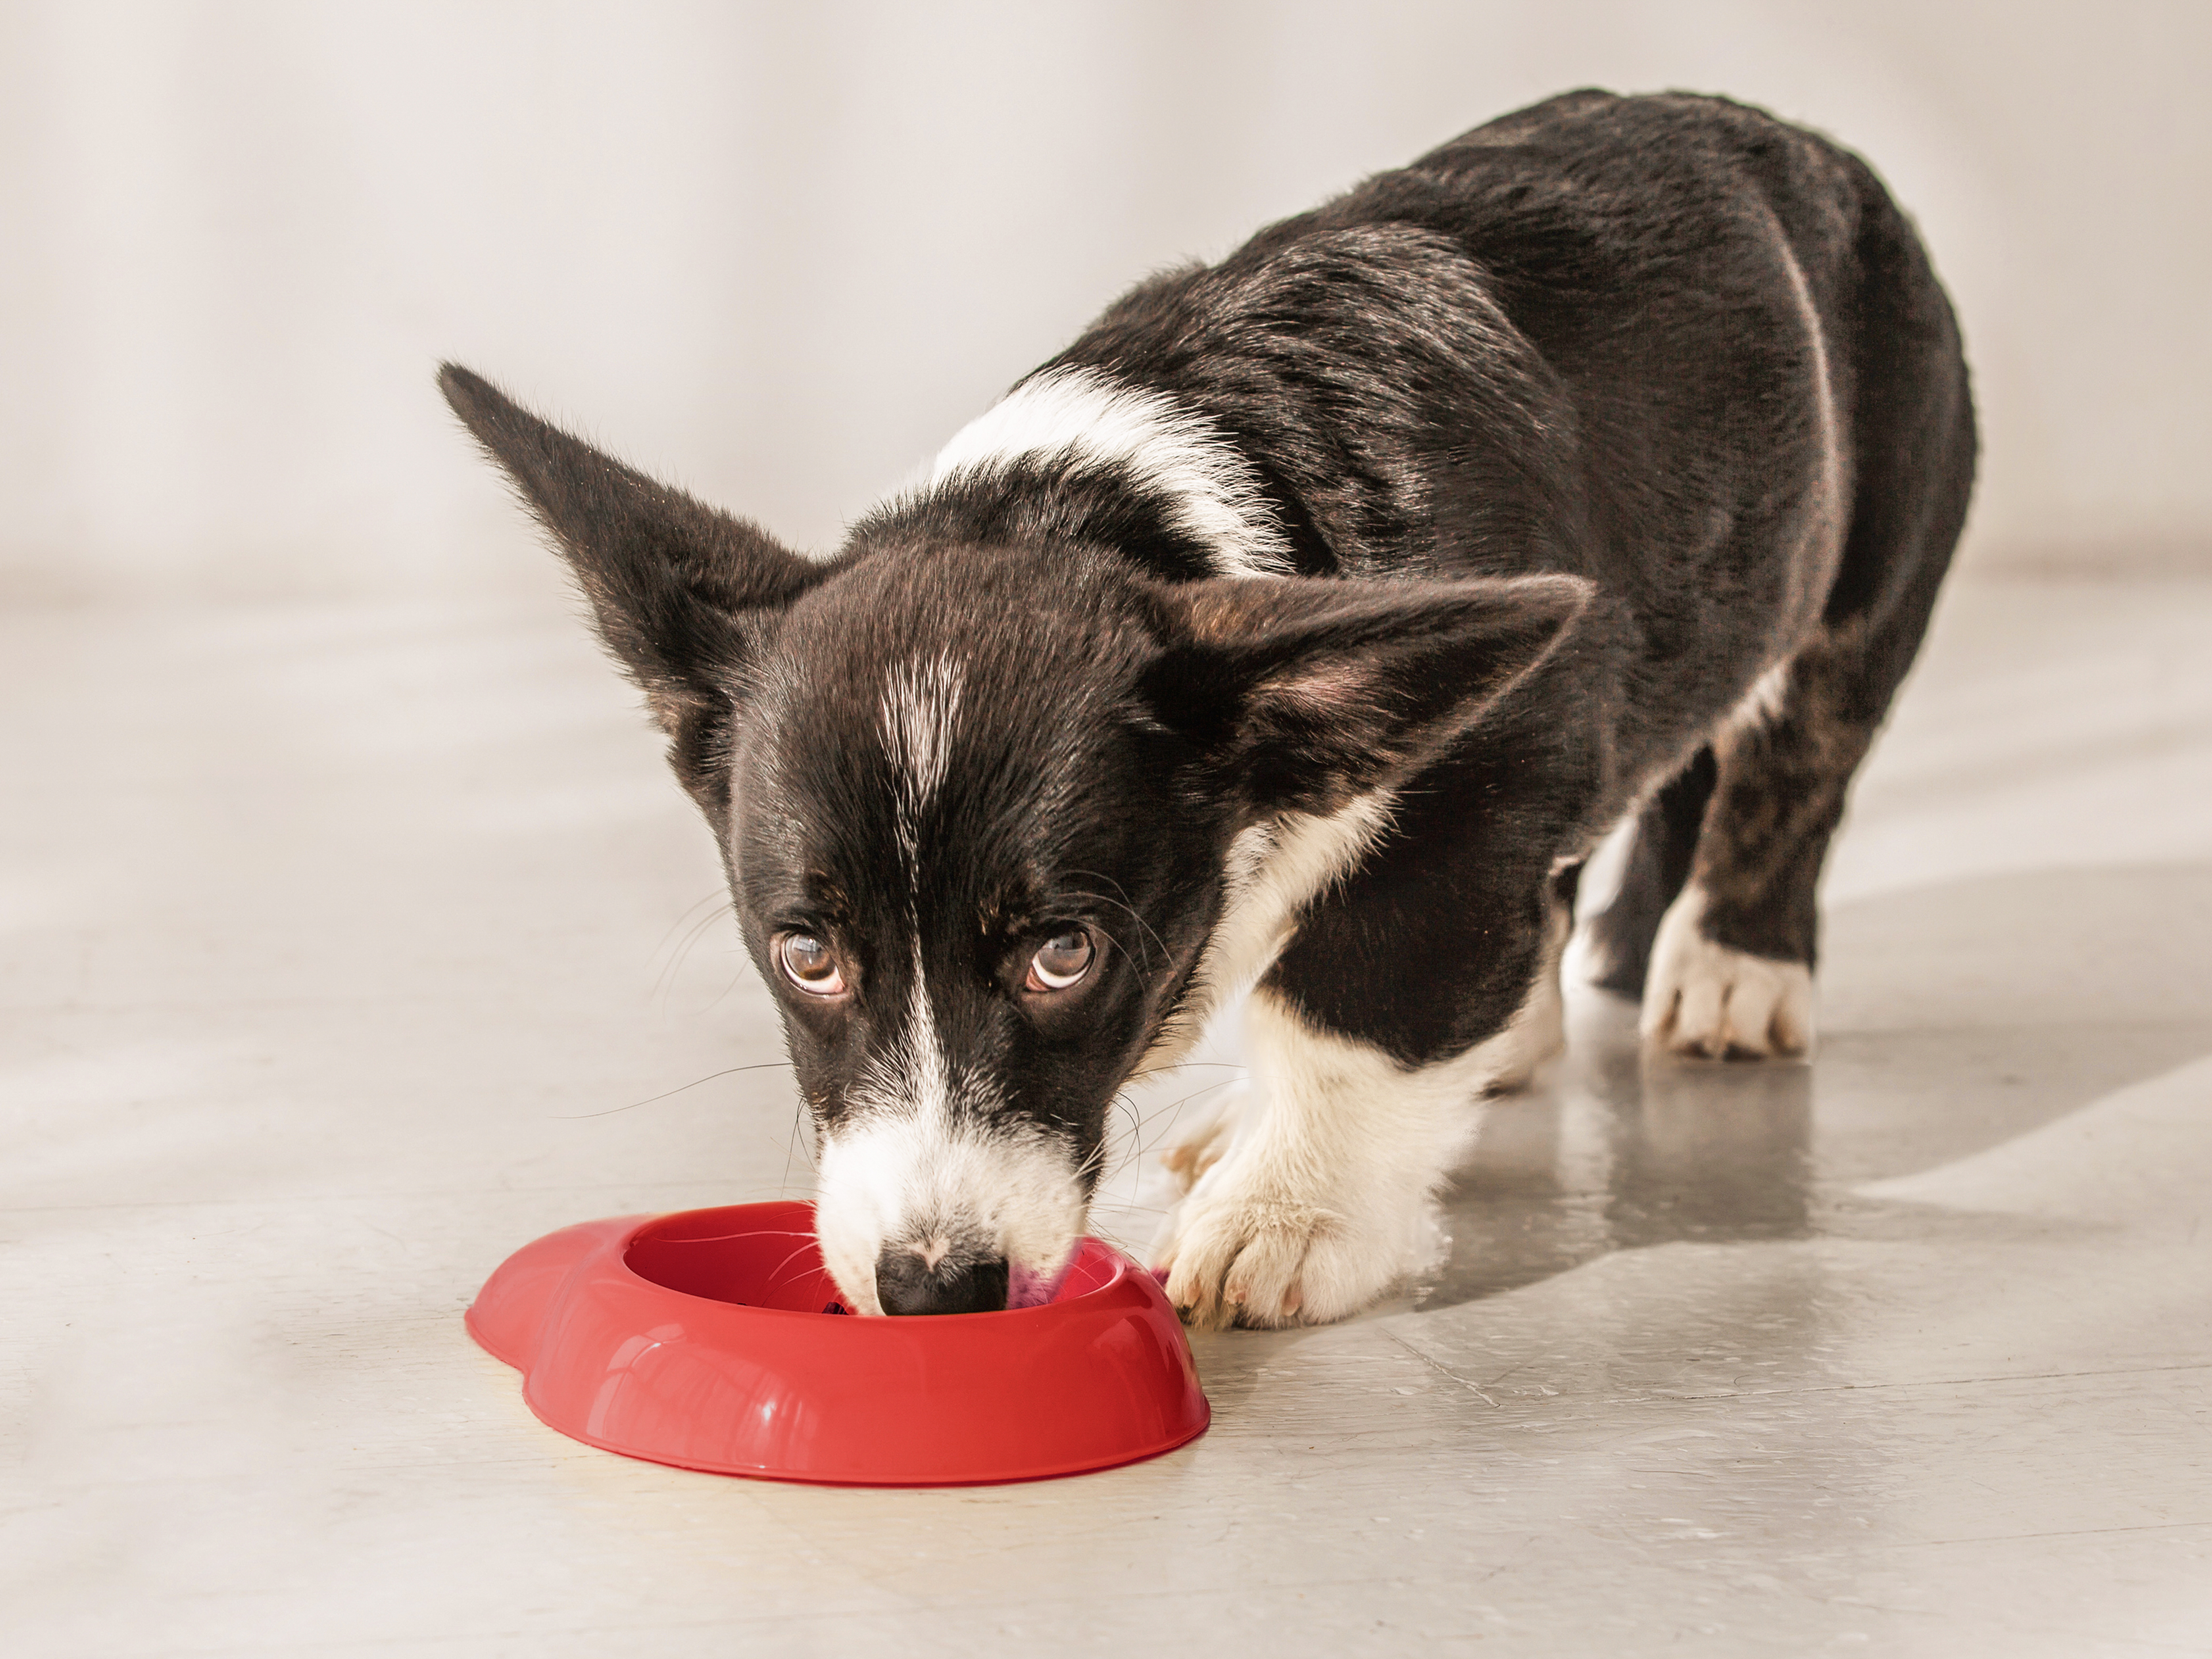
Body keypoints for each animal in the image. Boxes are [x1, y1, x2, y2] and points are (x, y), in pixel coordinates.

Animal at [440, 90, 1982, 1336]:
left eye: (1064, 954)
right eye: (804, 954)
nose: (933, 1290)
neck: (1124, 507)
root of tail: (1791, 140)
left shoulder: (1470, 799)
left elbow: (1349, 1012)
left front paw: (1288, 1221)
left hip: (1865, 566)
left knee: (1796, 760)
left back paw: (1734, 974)